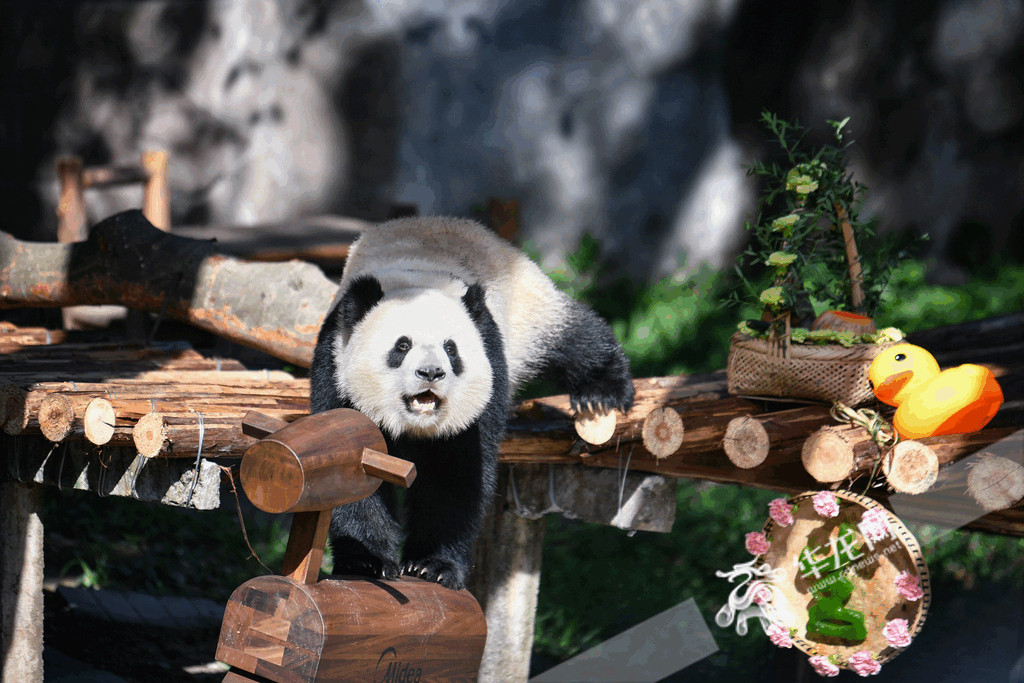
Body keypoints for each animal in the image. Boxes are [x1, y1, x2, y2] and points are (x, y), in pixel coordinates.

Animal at [307, 216, 634, 589]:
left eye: (451, 349)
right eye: (402, 346)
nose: (431, 372)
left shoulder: (487, 362)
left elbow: (456, 473)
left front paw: (432, 566)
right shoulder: (335, 366)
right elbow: (350, 466)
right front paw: (367, 562)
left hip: (526, 306)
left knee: (574, 337)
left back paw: (600, 393)